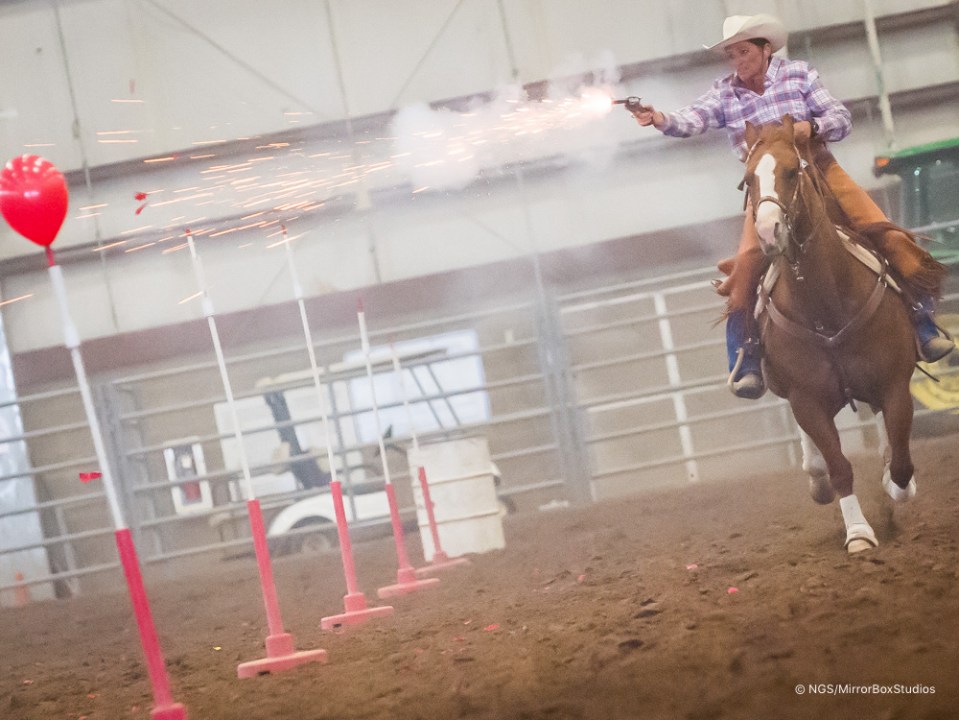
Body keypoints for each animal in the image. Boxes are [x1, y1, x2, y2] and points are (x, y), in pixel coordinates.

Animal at [741, 114, 920, 554]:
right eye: (749, 179)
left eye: (792, 171)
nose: (768, 232)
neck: (826, 305)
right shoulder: (807, 400)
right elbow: (839, 467)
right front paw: (858, 533)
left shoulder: (893, 383)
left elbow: (902, 460)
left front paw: (897, 487)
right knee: (818, 455)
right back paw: (817, 476)